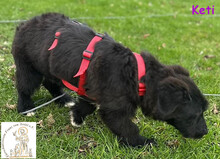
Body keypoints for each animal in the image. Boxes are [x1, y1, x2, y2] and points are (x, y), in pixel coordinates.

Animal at [11, 13, 208, 147]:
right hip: (28, 67)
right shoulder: (114, 110)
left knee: (50, 82)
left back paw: (64, 99)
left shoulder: (90, 89)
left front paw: (76, 116)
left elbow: (87, 106)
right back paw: (26, 108)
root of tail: (23, 24)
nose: (205, 132)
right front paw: (142, 142)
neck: (137, 75)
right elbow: (127, 127)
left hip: (51, 67)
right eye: (196, 115)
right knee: (24, 87)